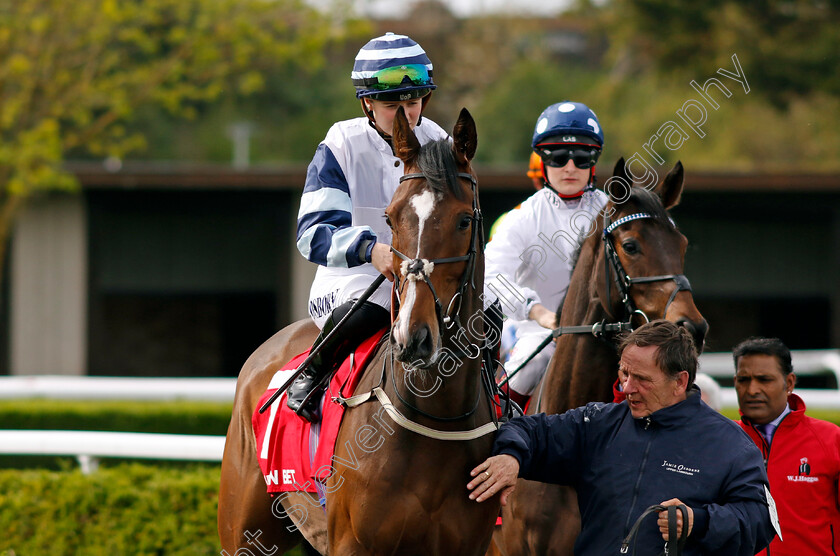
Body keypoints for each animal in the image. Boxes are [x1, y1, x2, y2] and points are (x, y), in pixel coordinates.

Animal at [220, 106, 502, 552]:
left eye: (462, 220)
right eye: (390, 216)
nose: (413, 339)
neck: (436, 420)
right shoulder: (352, 542)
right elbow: (317, 225)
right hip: (243, 527)